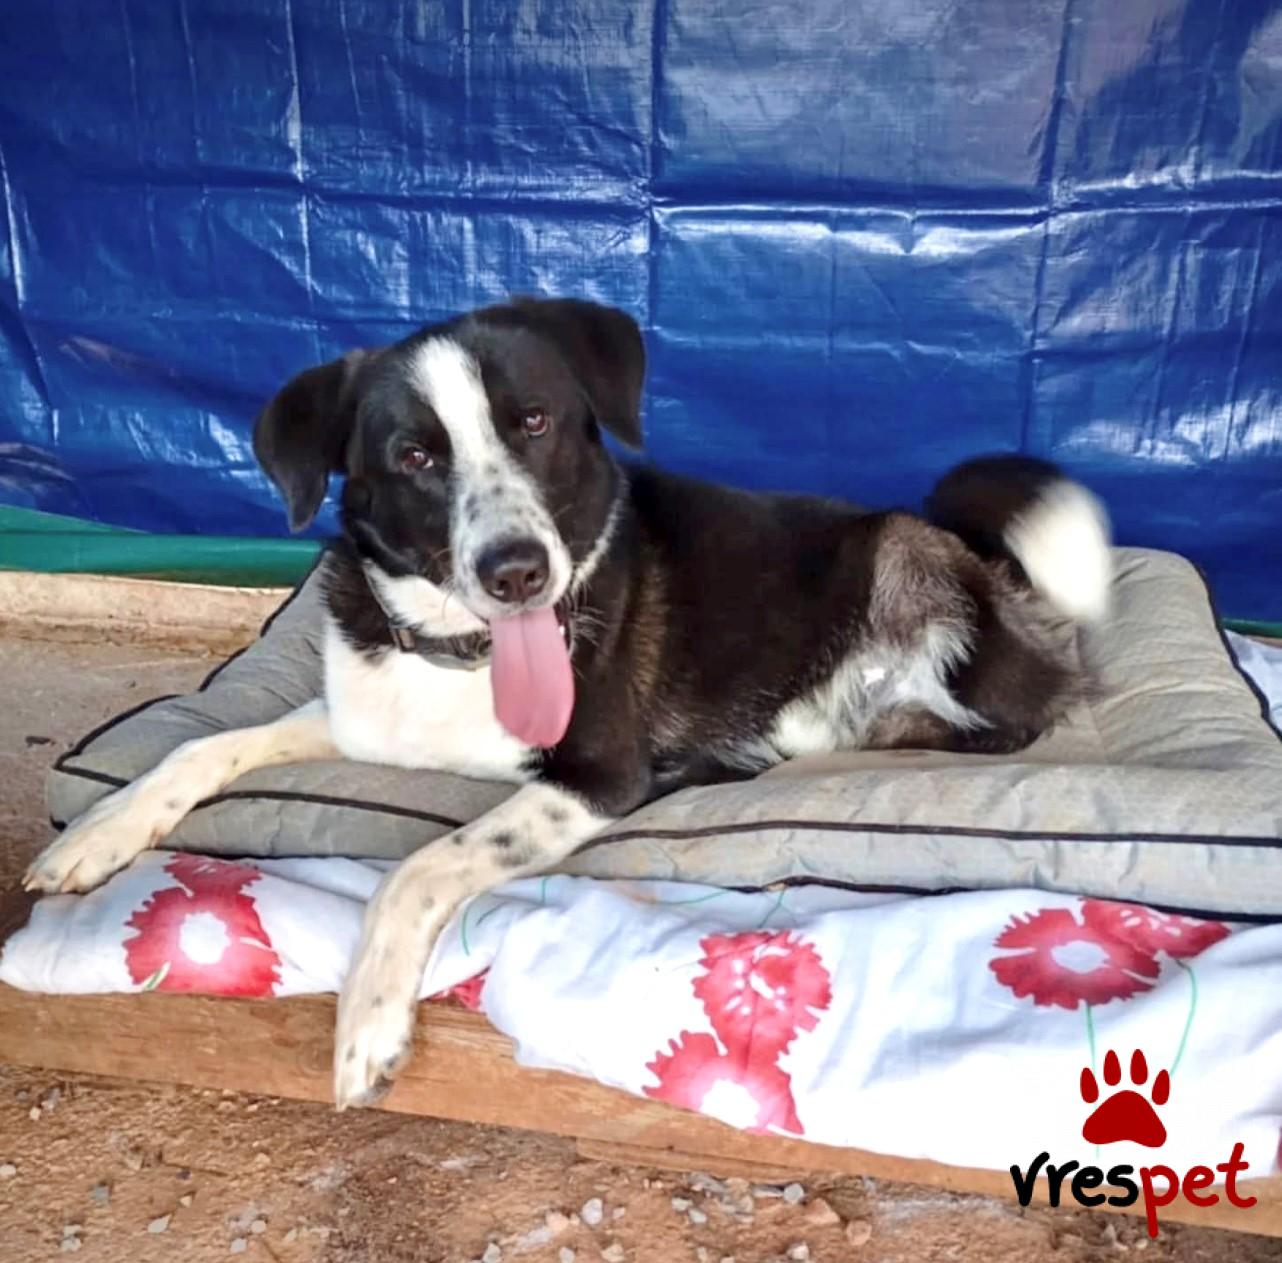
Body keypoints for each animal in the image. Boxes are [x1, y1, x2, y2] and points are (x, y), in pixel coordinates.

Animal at [25, 297, 1112, 1109]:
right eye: (414, 456)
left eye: (535, 423)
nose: (517, 572)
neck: (462, 656)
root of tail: (994, 567)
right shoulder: (359, 714)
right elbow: (201, 747)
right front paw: (99, 834)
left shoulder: (593, 776)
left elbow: (418, 866)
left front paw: (369, 1021)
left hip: (900, 561)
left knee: (990, 716)